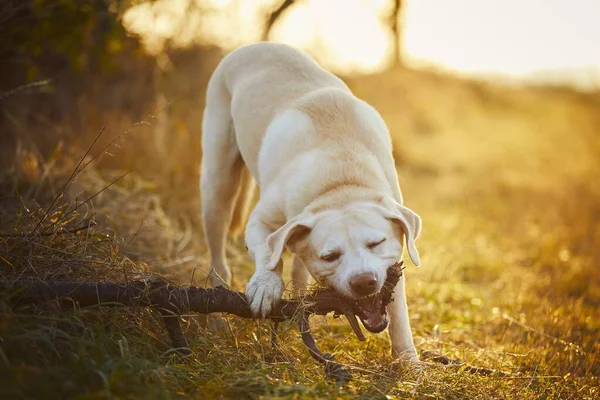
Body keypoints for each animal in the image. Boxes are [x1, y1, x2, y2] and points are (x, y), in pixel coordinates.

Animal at [202, 42, 422, 360]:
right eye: (330, 256)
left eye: (376, 243)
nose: (364, 282)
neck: (339, 181)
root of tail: (253, 45)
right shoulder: (262, 221)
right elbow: (268, 255)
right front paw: (266, 285)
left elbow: (398, 311)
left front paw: (409, 363)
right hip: (217, 182)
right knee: (218, 257)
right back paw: (218, 317)